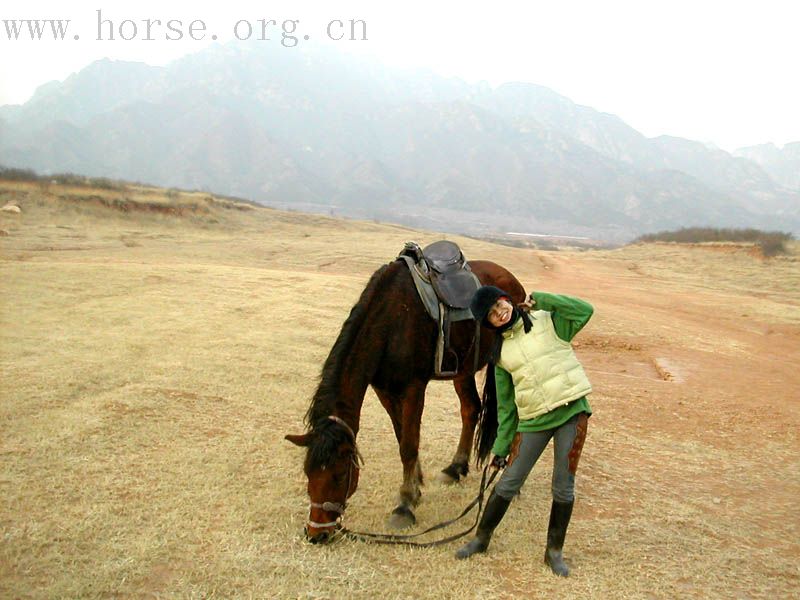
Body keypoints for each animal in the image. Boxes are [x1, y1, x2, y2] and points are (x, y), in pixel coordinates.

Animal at [286, 258, 524, 544]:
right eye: (308, 472)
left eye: (340, 474)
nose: (316, 533)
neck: (391, 322)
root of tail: (513, 281)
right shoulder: (384, 390)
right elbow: (402, 438)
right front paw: (416, 485)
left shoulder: (413, 388)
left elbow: (409, 445)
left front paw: (405, 505)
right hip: (463, 370)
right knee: (471, 409)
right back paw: (455, 468)